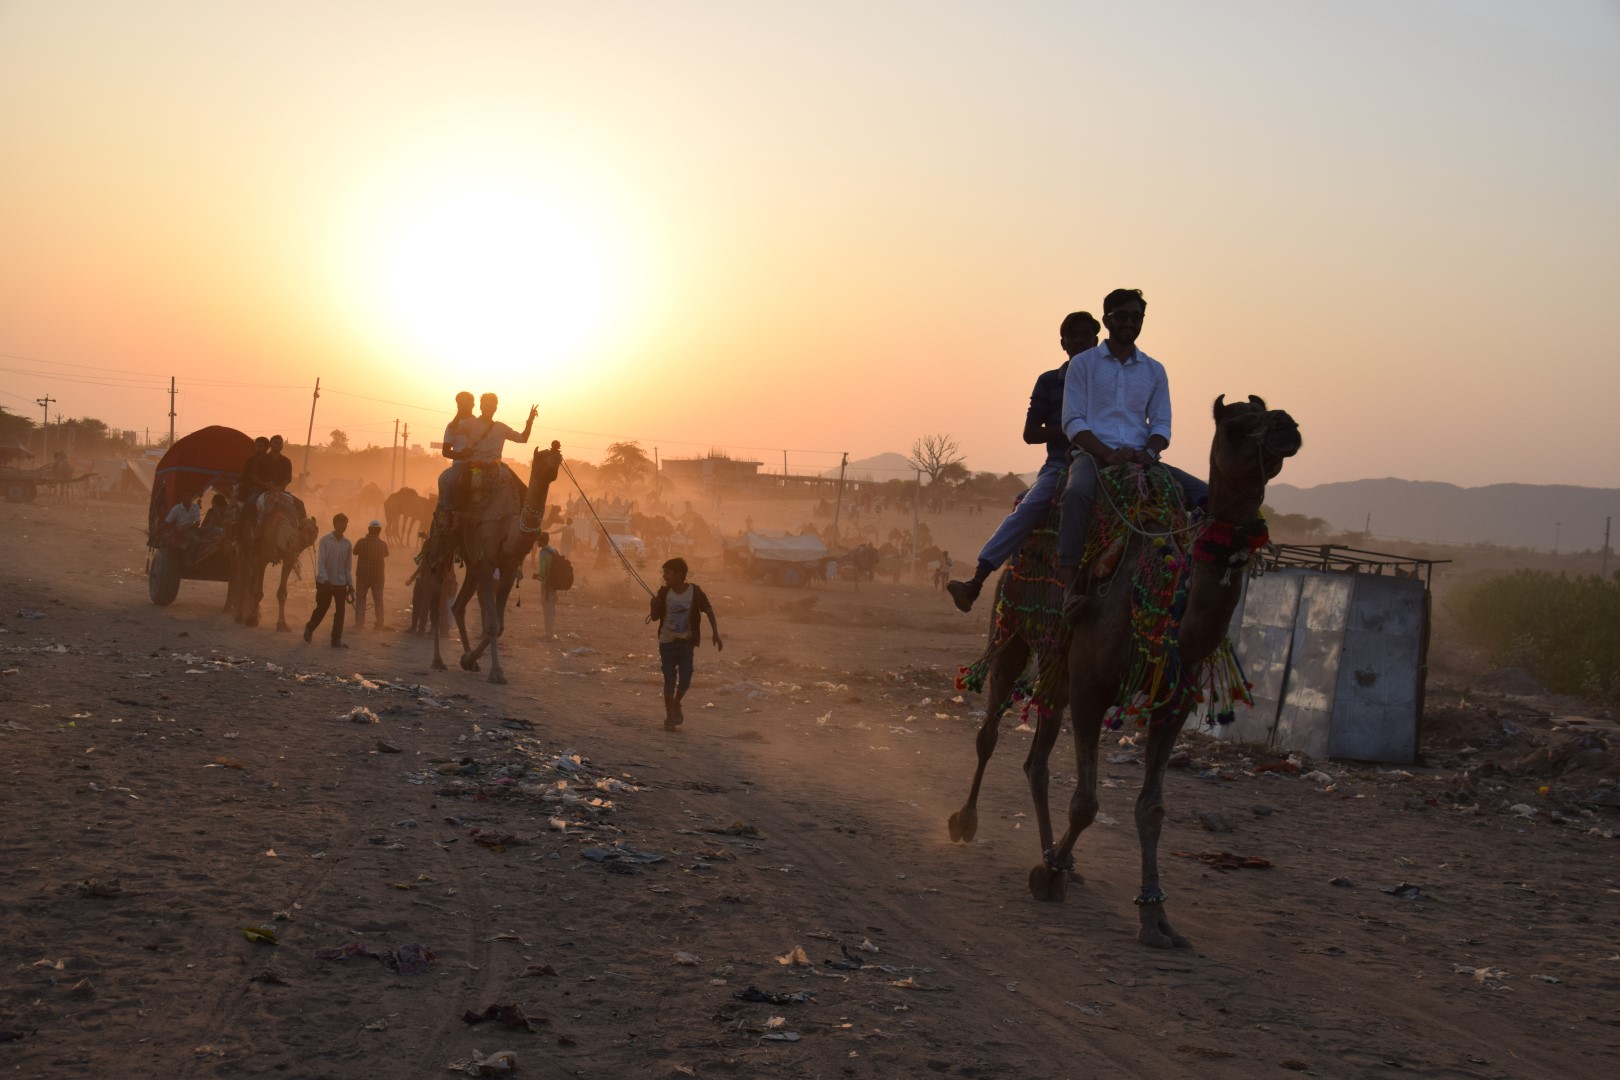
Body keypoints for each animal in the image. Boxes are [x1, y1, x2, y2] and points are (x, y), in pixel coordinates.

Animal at [233, 492, 317, 634]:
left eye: (315, 529)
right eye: (302, 528)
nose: (311, 536)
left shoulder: (289, 559)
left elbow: (282, 593)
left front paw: (282, 625)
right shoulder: (261, 559)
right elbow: (258, 592)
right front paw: (252, 620)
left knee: (250, 580)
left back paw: (254, 612)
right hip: (245, 547)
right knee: (244, 578)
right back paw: (239, 616)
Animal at [424, 440, 563, 683]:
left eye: (557, 453)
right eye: (542, 457)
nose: (556, 451)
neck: (507, 529)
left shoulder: (507, 568)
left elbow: (499, 625)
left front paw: (468, 659)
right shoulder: (487, 565)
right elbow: (491, 622)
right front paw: (496, 672)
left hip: (472, 564)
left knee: (458, 606)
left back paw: (471, 661)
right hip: (441, 540)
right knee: (437, 592)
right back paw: (438, 660)